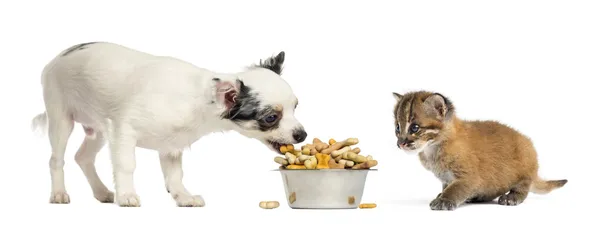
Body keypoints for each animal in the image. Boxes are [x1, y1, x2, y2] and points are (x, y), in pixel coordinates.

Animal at [30, 41, 308, 207]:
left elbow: (175, 175)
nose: (302, 134)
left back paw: (101, 192)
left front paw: (183, 197)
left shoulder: (171, 146)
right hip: (61, 119)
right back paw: (59, 194)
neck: (197, 102)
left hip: (97, 129)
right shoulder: (123, 131)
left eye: (296, 107)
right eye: (271, 118)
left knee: (83, 157)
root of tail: (55, 59)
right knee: (56, 160)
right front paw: (127, 195)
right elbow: (126, 166)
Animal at [394, 90, 568, 210]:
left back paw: (511, 197)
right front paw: (442, 194)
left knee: (524, 186)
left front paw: (444, 200)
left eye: (415, 127)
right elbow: (447, 187)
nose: (400, 143)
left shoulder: (469, 177)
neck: (432, 148)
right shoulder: (446, 179)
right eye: (397, 127)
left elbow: (455, 189)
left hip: (525, 167)